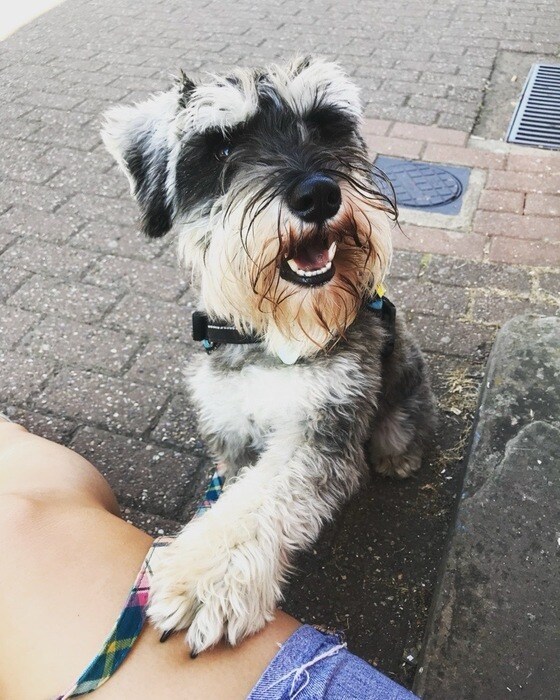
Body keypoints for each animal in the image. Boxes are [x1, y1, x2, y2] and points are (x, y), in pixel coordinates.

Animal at [101, 57, 438, 652]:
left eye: (326, 127)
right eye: (221, 148)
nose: (319, 195)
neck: (265, 335)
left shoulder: (322, 428)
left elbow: (262, 499)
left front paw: (205, 578)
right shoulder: (230, 431)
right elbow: (237, 491)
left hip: (403, 397)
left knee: (404, 427)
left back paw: (398, 457)